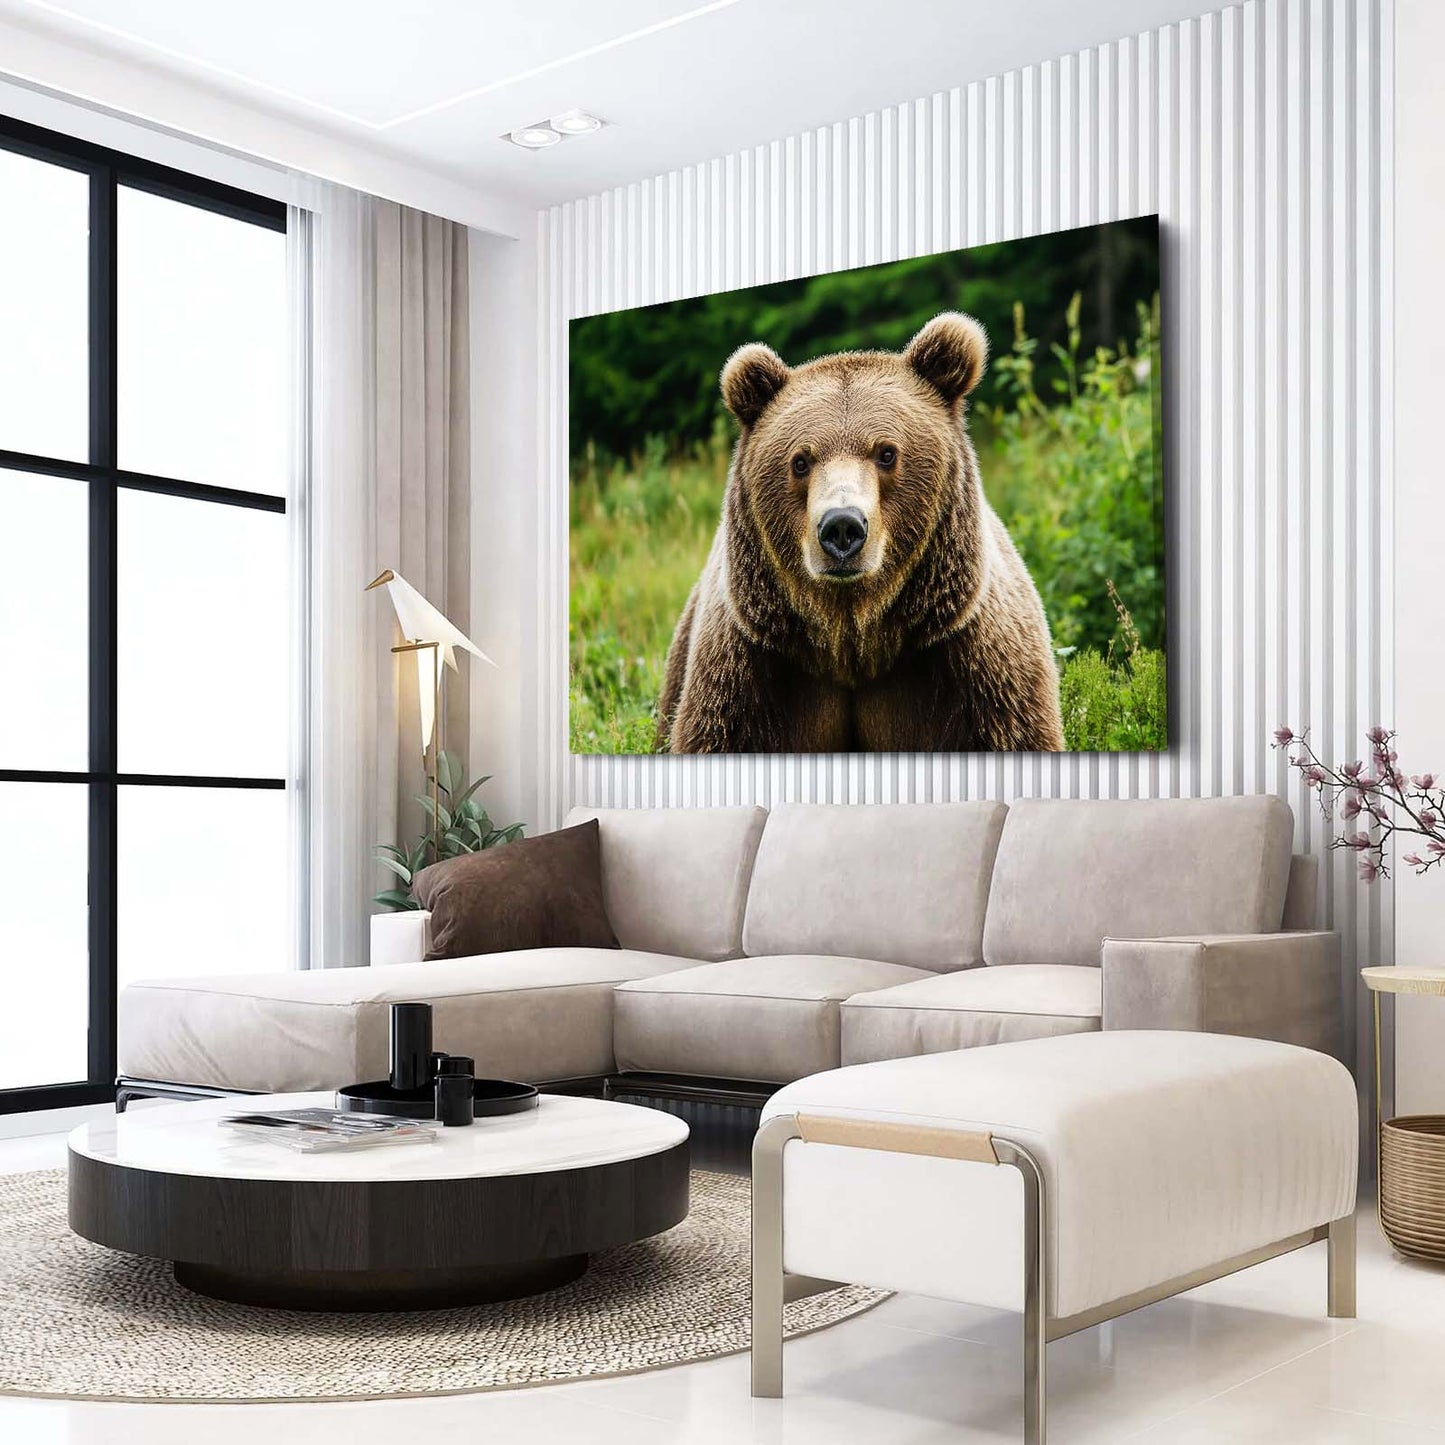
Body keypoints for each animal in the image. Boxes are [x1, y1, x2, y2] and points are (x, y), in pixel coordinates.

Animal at [655, 312, 1066, 754]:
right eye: (800, 461)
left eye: (887, 452)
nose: (842, 527)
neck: (852, 642)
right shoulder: (748, 669)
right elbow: (721, 732)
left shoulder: (972, 661)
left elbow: (1012, 729)